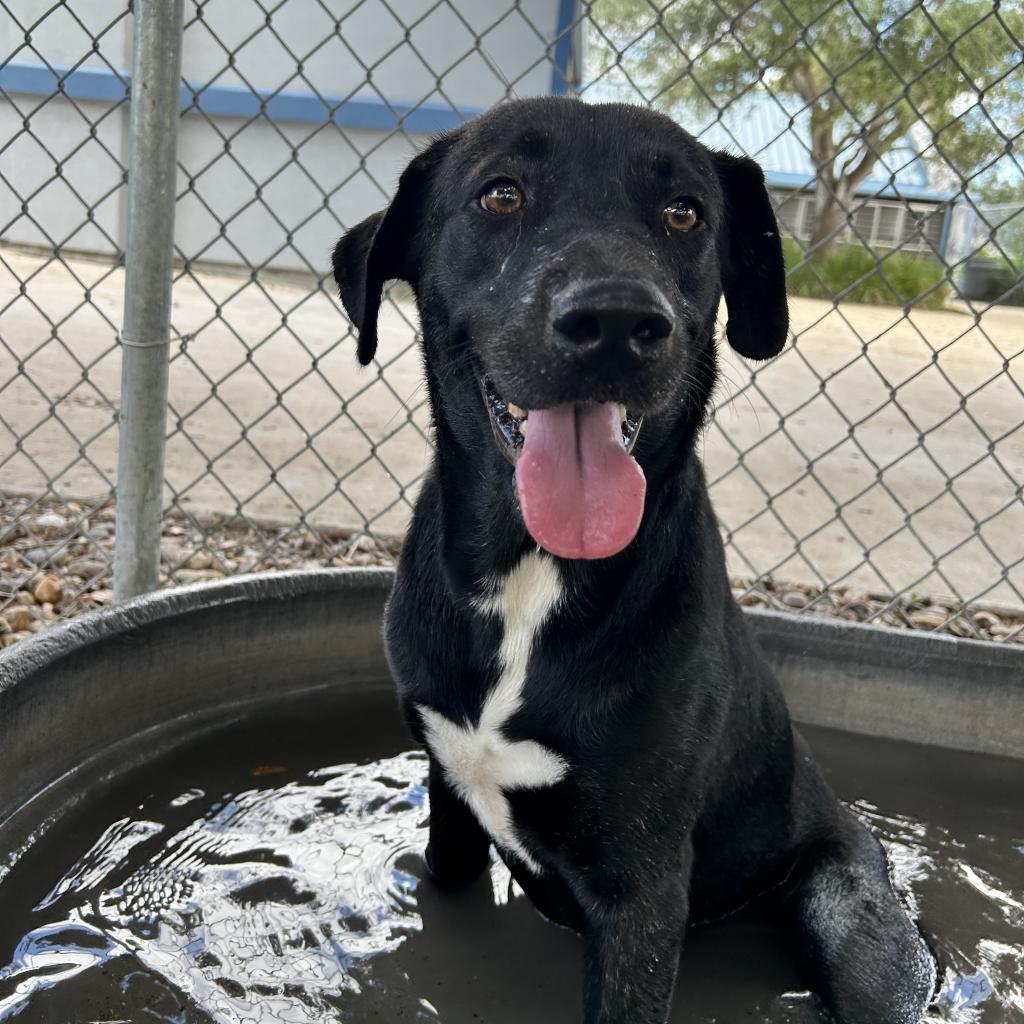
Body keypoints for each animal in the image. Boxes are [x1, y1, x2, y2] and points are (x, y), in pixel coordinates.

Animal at [333, 97, 937, 1024]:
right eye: (500, 194)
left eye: (685, 213)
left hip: (859, 932)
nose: (617, 321)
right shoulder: (450, 809)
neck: (532, 578)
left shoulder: (643, 888)